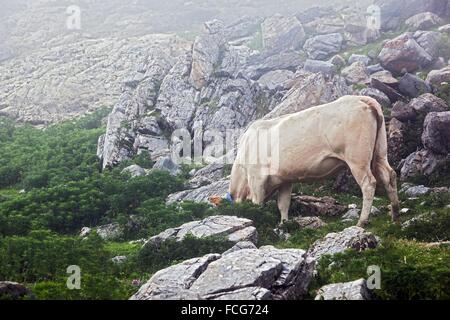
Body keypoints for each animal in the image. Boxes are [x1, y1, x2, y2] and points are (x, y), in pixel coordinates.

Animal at [230, 95, 400, 228]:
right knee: (389, 175)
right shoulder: (285, 180)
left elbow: (257, 203)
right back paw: (395, 214)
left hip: (357, 158)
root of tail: (362, 98)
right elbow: (283, 204)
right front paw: (284, 224)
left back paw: (362, 221)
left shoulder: (256, 178)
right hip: (380, 152)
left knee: (369, 183)